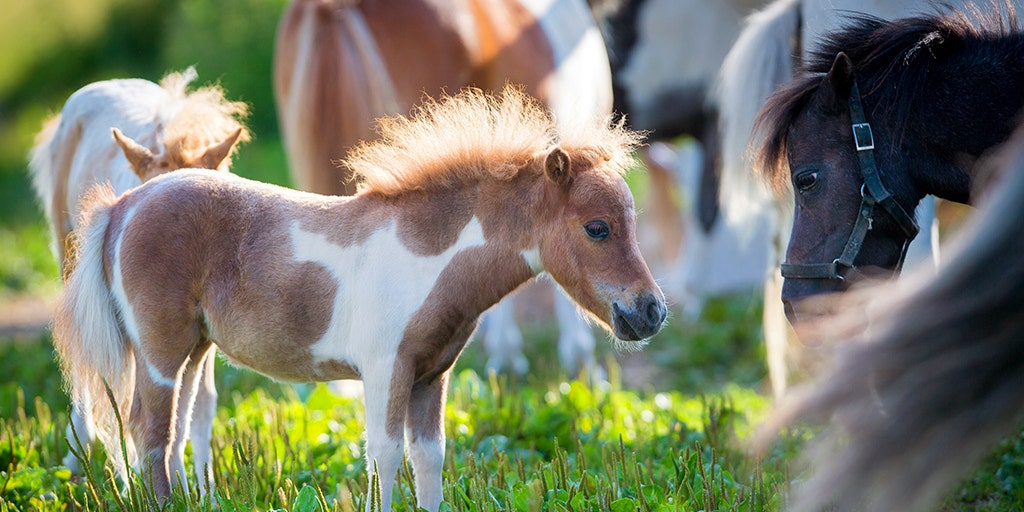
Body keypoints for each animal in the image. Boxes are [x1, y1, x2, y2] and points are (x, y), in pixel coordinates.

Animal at [54, 87, 663, 507]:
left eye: (633, 222)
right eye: (598, 228)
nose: (651, 311)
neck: (427, 254)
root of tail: (124, 204)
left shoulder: (431, 376)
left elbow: (428, 457)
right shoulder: (385, 369)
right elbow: (384, 457)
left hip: (195, 350)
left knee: (176, 433)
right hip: (158, 350)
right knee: (148, 432)